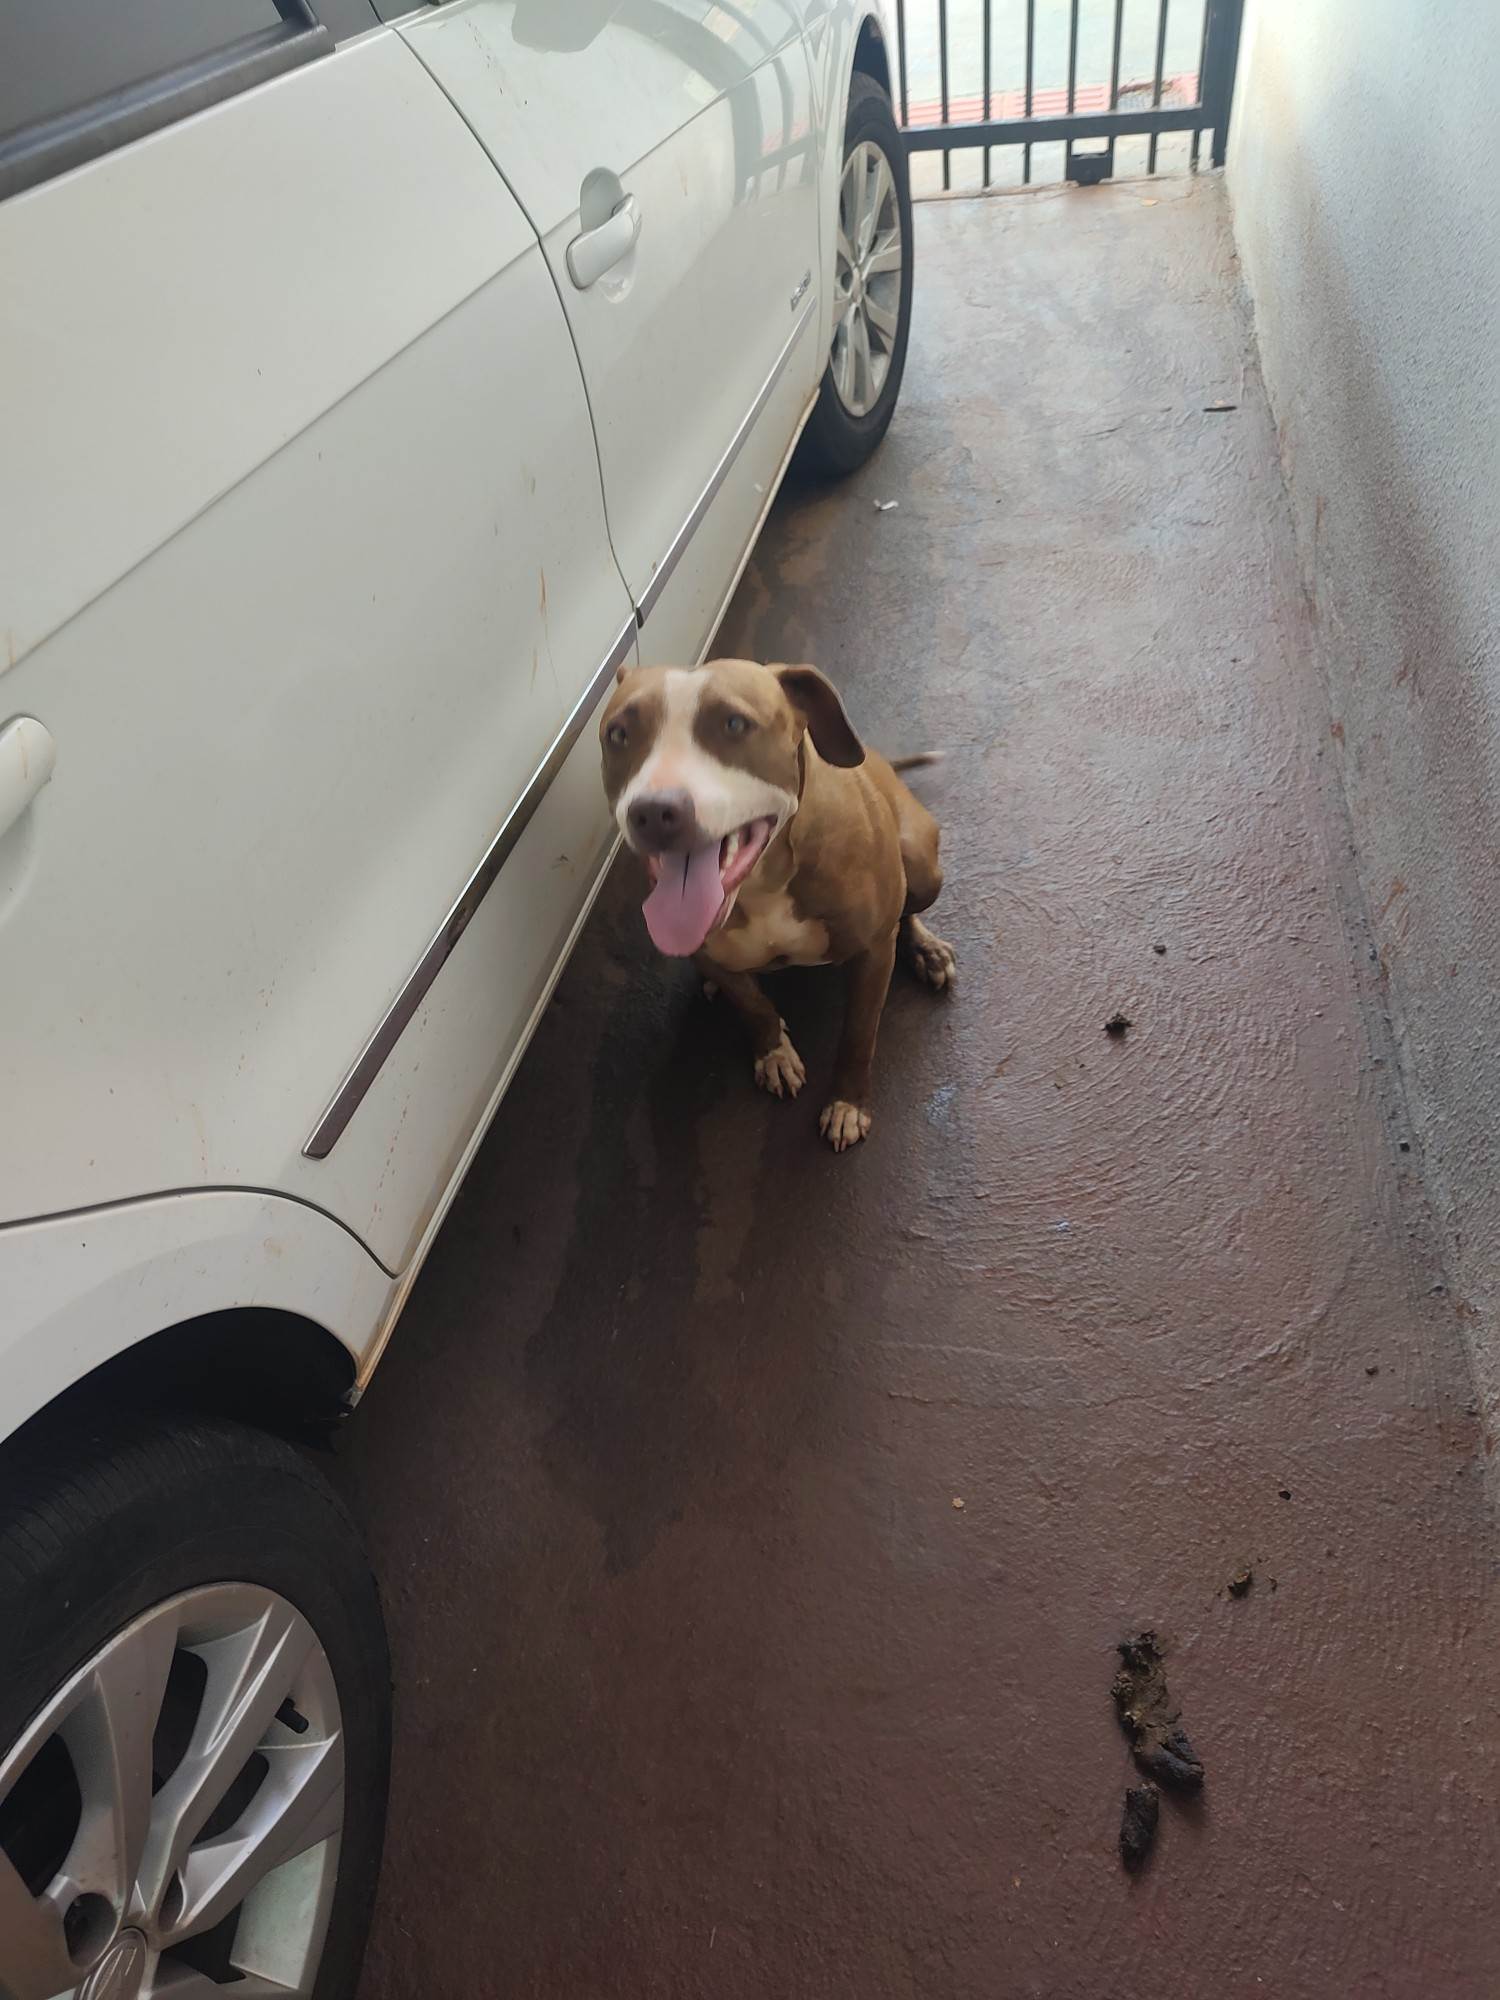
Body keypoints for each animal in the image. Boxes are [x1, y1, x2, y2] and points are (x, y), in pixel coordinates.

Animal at [600, 658, 955, 1150]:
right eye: (618, 734)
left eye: (734, 724)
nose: (652, 812)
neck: (762, 883)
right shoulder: (707, 953)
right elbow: (753, 1005)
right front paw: (774, 1054)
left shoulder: (873, 952)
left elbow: (859, 1035)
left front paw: (848, 1103)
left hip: (920, 864)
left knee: (908, 911)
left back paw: (927, 949)